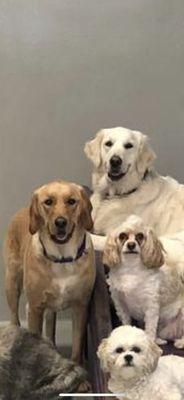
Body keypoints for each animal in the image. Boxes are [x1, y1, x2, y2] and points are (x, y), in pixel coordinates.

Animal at [103, 216, 184, 346]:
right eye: (122, 236)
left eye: (140, 236)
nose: (131, 245)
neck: (131, 269)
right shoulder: (120, 304)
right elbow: (126, 324)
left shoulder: (151, 307)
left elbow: (150, 329)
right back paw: (160, 340)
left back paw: (180, 342)